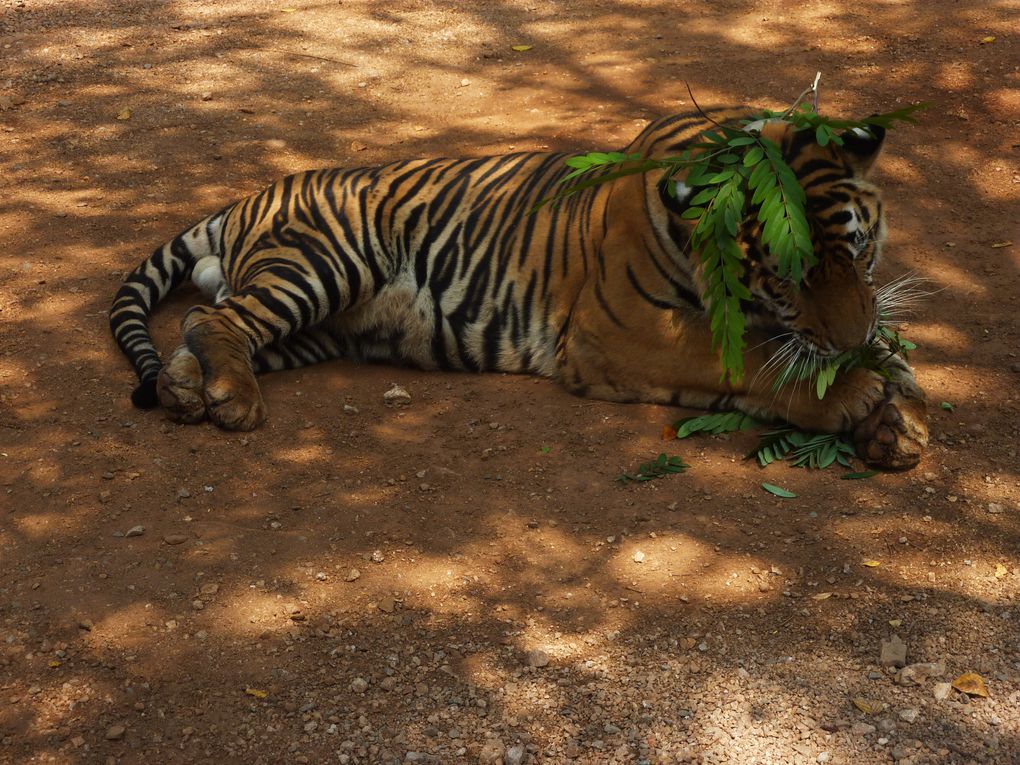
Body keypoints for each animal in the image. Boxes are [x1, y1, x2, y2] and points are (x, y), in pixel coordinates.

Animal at [109, 106, 926, 467]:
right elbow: (749, 359)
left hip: (320, 326)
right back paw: (233, 402)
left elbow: (879, 352)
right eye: (789, 276)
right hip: (322, 263)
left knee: (205, 330)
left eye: (859, 250)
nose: (849, 336)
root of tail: (246, 197)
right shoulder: (624, 330)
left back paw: (188, 394)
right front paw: (855, 393)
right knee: (215, 323)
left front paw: (900, 420)